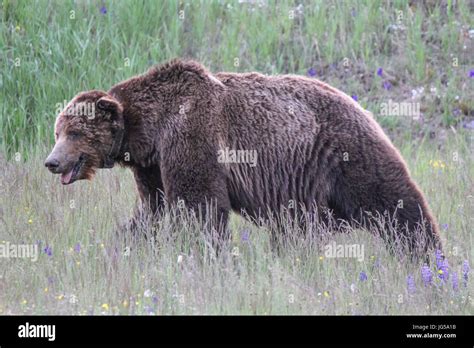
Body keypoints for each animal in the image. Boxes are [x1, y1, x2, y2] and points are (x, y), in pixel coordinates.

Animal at [44, 59, 440, 256]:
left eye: (75, 133)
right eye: (57, 130)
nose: (52, 162)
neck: (151, 128)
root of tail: (360, 104)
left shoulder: (192, 136)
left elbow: (199, 206)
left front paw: (206, 256)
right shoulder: (153, 165)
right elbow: (154, 209)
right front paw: (123, 246)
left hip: (342, 153)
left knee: (394, 203)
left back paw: (428, 256)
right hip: (303, 195)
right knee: (297, 231)